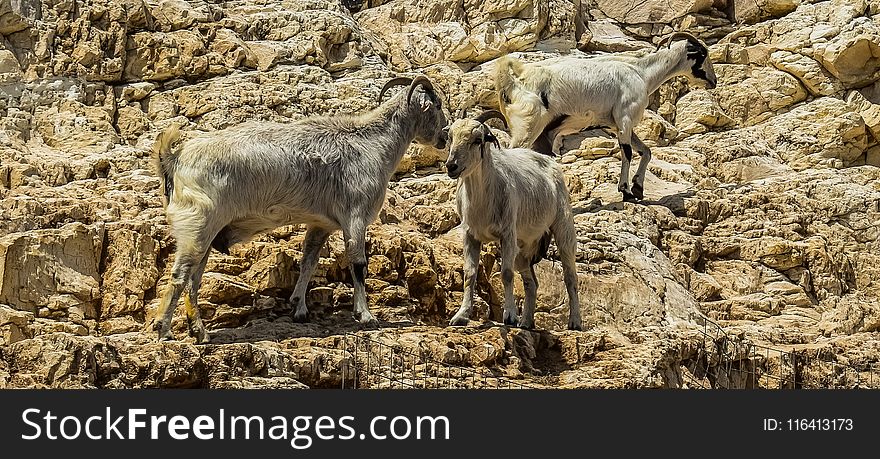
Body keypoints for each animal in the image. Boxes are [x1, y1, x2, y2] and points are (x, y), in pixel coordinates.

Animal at [150, 76, 446, 342]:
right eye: (438, 105)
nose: (444, 137)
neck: (371, 144)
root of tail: (174, 158)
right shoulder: (355, 216)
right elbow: (358, 264)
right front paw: (365, 315)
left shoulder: (321, 224)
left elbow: (308, 261)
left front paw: (299, 308)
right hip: (197, 225)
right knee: (180, 275)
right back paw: (165, 330)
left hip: (207, 232)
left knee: (194, 278)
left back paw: (197, 332)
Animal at [444, 110, 580, 330]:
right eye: (450, 137)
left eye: (478, 140)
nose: (451, 166)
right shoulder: (470, 234)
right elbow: (469, 274)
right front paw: (461, 316)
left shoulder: (507, 233)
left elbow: (506, 274)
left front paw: (509, 316)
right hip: (524, 245)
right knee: (531, 282)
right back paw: (526, 322)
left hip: (563, 225)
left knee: (570, 276)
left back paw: (575, 321)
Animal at [496, 31, 716, 203]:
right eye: (702, 54)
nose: (714, 81)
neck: (642, 73)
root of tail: (512, 81)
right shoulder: (625, 118)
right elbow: (627, 152)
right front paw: (626, 192)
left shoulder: (616, 124)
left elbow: (646, 151)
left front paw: (638, 188)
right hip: (528, 127)